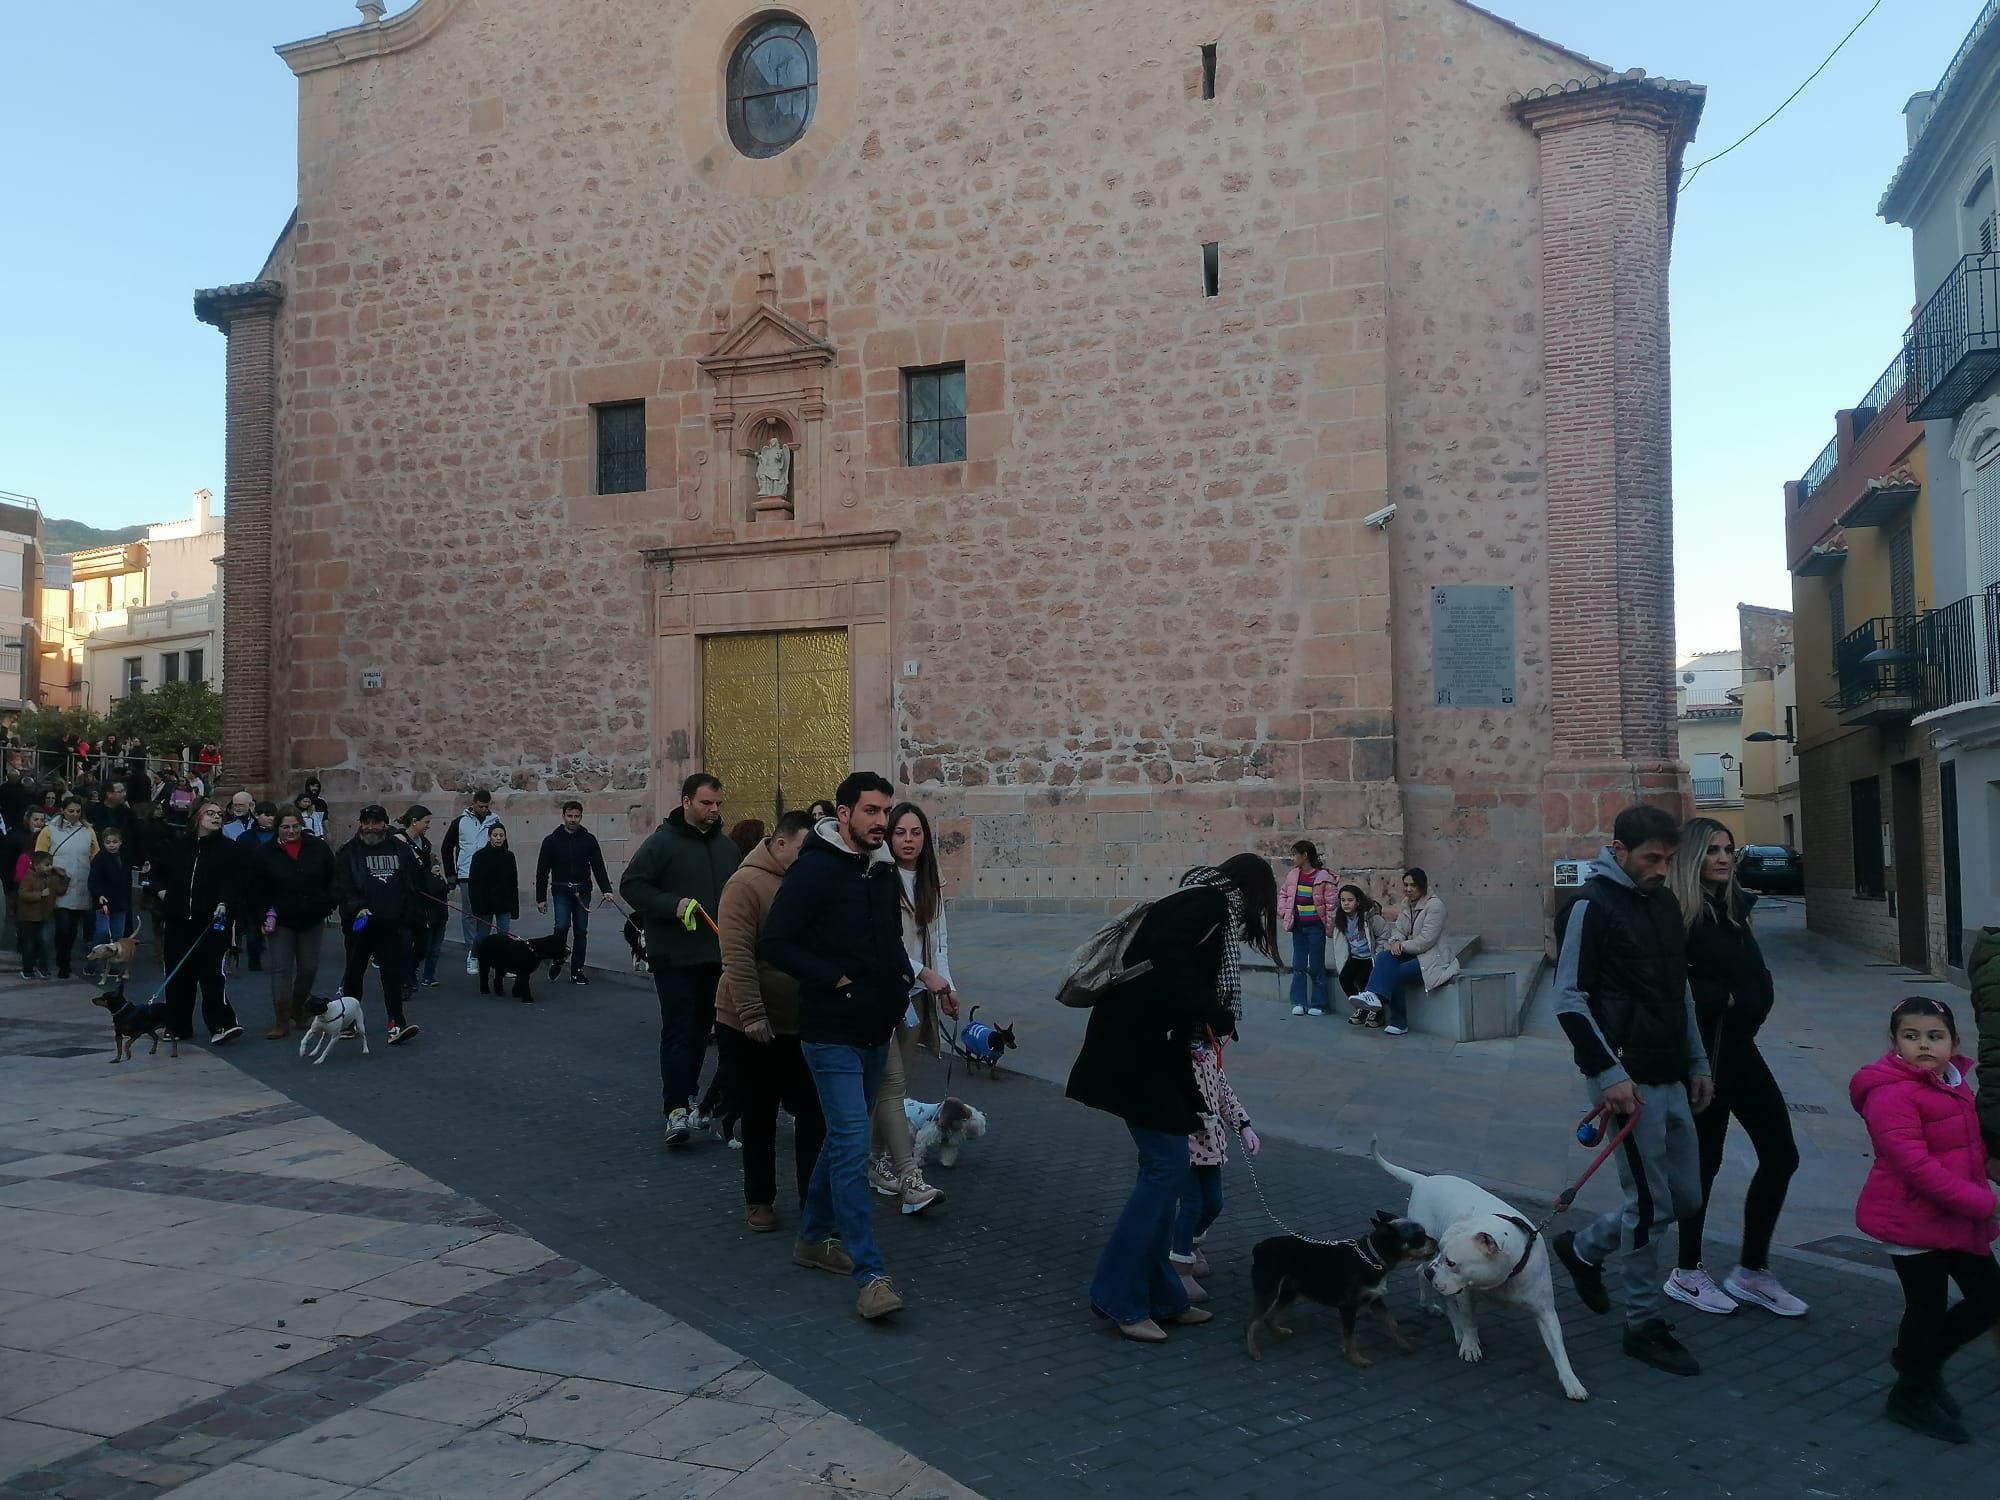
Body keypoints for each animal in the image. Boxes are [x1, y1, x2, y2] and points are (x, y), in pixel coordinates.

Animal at [1248, 1216, 1440, 1368]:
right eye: (1418, 1237)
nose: (1436, 1242)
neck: (1373, 1257)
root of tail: (1258, 1247)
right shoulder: (1348, 1306)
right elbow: (1350, 1336)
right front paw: (1356, 1359)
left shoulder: (1375, 1299)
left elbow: (1391, 1322)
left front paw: (1403, 1344)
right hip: (1269, 1292)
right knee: (1250, 1324)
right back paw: (1253, 1351)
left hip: (1289, 1292)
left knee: (1269, 1316)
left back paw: (1278, 1332)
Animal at [1368, 1144, 1584, 1408]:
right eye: (1446, 1256)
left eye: (1452, 1262)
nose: (1434, 1271)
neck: (1506, 1272)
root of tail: (1424, 1179)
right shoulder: (1465, 1293)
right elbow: (1469, 1321)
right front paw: (1470, 1345)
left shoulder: (1545, 1311)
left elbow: (1559, 1348)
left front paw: (1572, 1381)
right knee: (1438, 1290)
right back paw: (1449, 1320)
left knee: (1423, 1275)